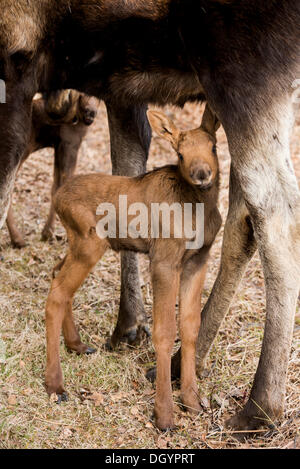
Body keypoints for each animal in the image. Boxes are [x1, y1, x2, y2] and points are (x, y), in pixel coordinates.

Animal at [5, 89, 98, 247]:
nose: (90, 113)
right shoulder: (70, 143)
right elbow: (64, 185)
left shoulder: (58, 146)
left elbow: (55, 186)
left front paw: (48, 233)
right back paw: (18, 239)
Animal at [45, 104, 223, 430]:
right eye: (180, 153)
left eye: (213, 146)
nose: (202, 174)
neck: (198, 209)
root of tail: (57, 197)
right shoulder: (163, 259)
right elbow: (164, 331)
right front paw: (164, 414)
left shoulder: (198, 260)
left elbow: (190, 327)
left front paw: (192, 402)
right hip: (90, 244)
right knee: (57, 293)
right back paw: (55, 385)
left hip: (76, 243)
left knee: (56, 275)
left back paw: (77, 344)